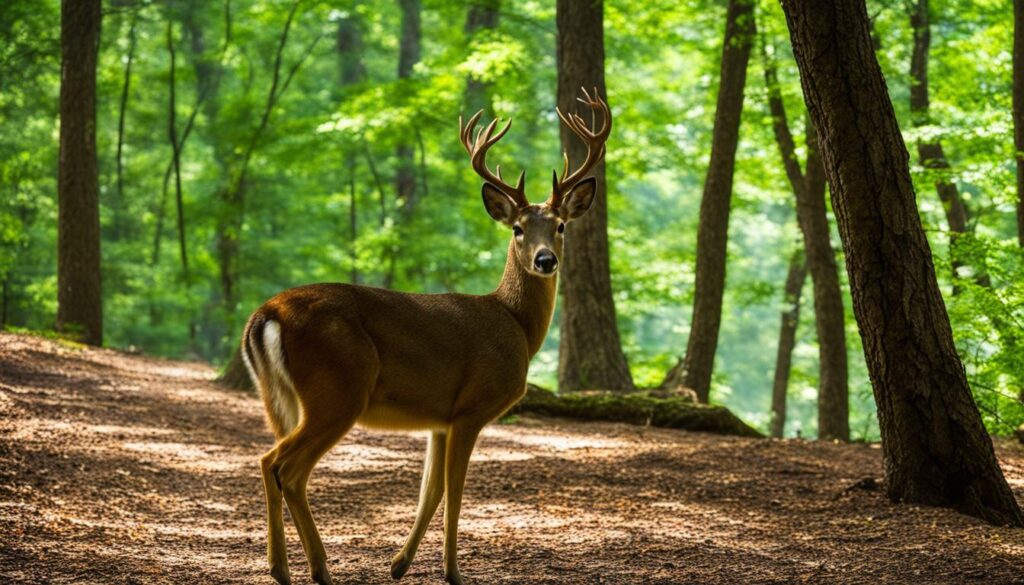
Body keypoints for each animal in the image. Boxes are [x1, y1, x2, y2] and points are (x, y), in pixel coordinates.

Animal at [243, 88, 610, 585]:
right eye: (517, 228)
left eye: (561, 226)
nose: (545, 260)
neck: (515, 322)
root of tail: (267, 313)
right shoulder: (472, 408)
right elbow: (455, 494)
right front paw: (454, 573)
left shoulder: (439, 418)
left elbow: (429, 492)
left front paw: (398, 565)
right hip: (337, 390)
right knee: (285, 467)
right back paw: (313, 568)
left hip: (278, 396)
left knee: (272, 463)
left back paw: (284, 566)